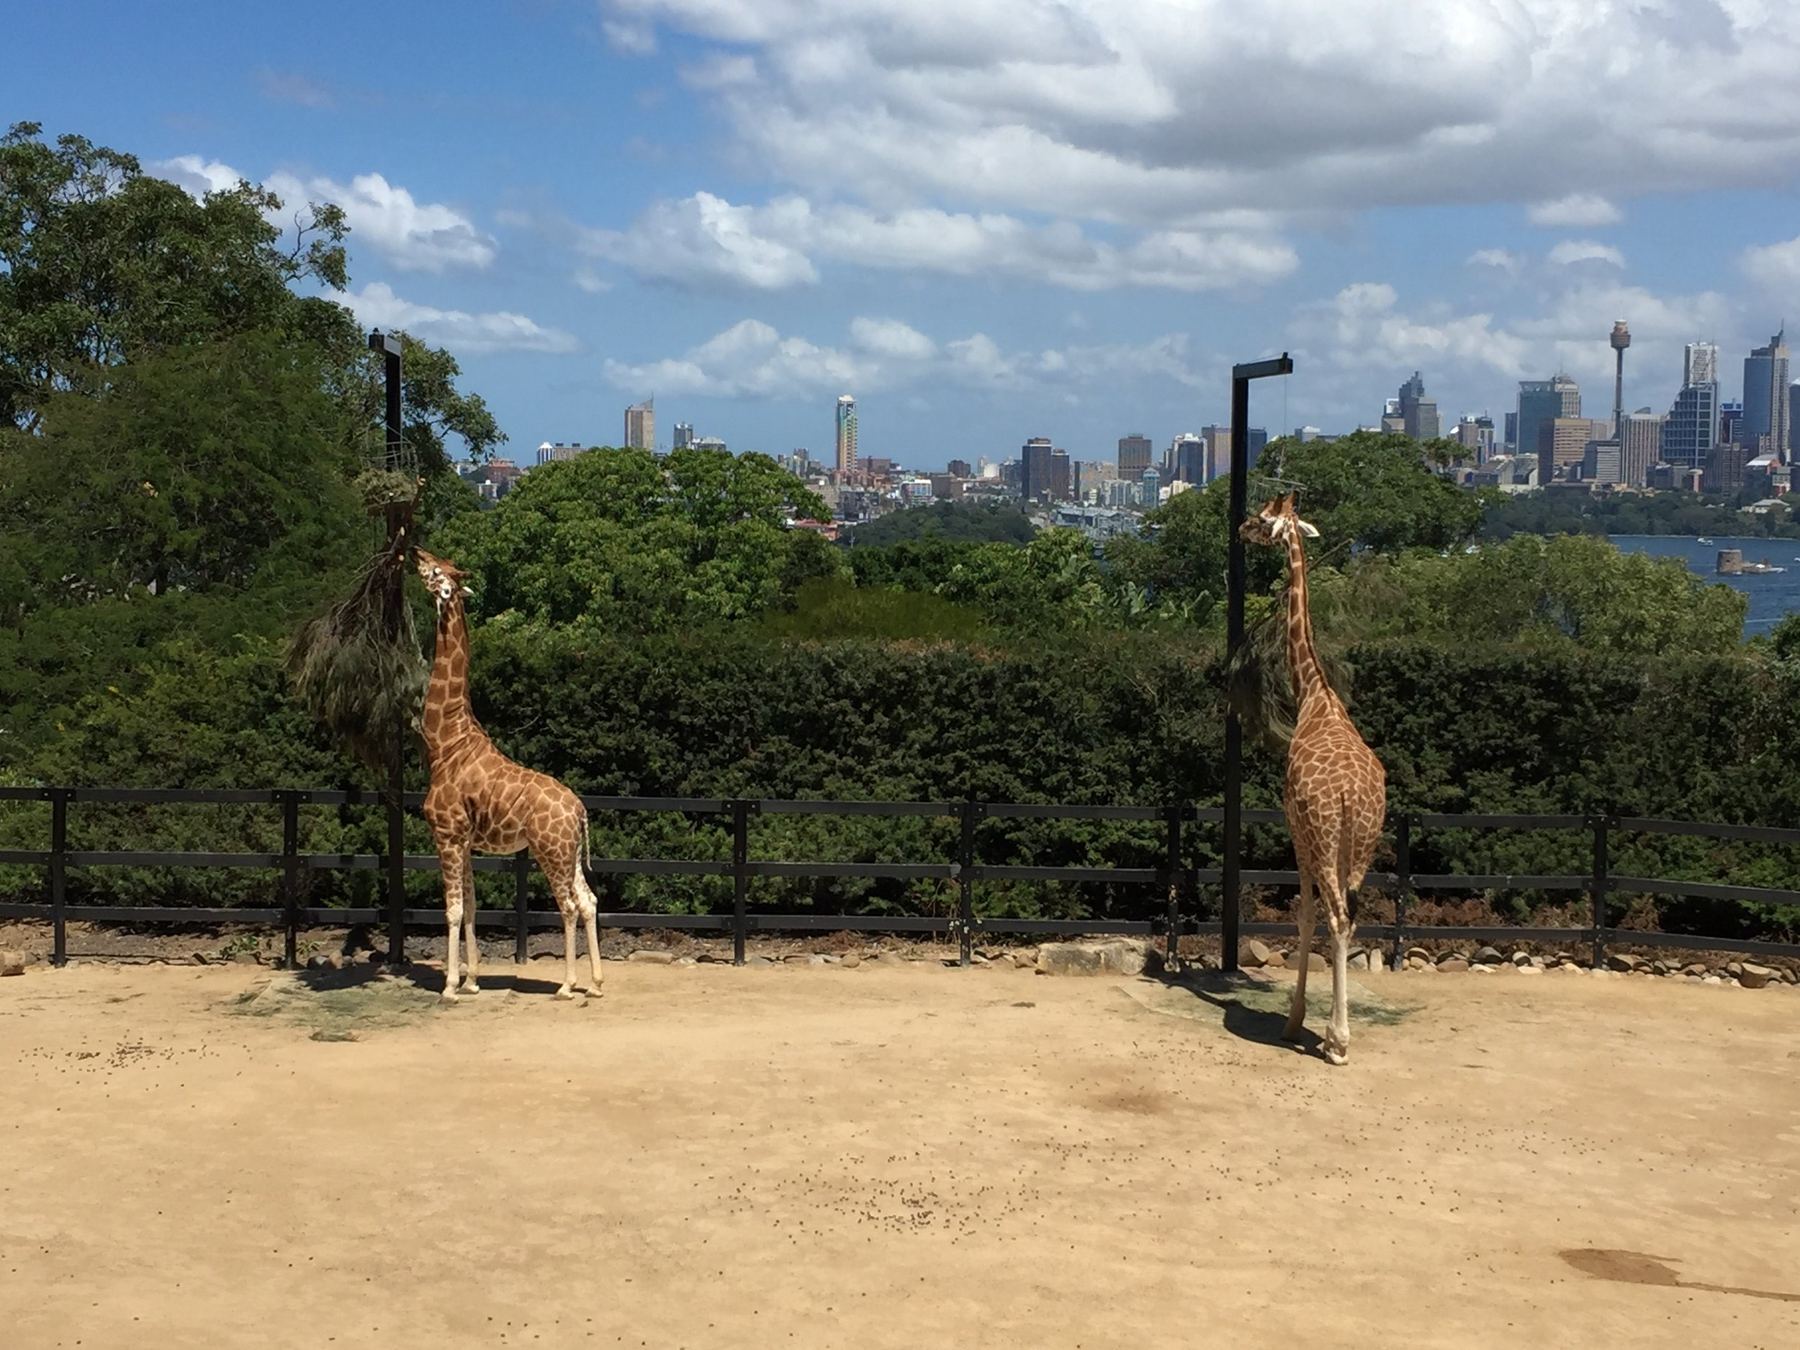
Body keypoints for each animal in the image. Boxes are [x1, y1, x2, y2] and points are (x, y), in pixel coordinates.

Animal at [412, 546, 604, 1003]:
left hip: (549, 851)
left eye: (435, 572)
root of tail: (580, 811)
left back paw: (567, 985)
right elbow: (471, 907)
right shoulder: (465, 842)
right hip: (569, 852)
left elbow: (452, 910)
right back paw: (596, 983)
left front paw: (449, 986)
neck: (445, 740)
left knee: (569, 905)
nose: (414, 553)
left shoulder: (446, 834)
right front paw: (472, 980)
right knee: (588, 900)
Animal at [1239, 494, 1386, 1065]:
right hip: (1362, 844)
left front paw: (1296, 1020)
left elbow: (1304, 914)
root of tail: (1349, 796)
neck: (1314, 695)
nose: (1240, 528)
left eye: (1261, 519)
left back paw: (1336, 1040)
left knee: (1338, 916)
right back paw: (1337, 1035)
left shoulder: (1296, 829)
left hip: (1325, 839)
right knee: (1350, 917)